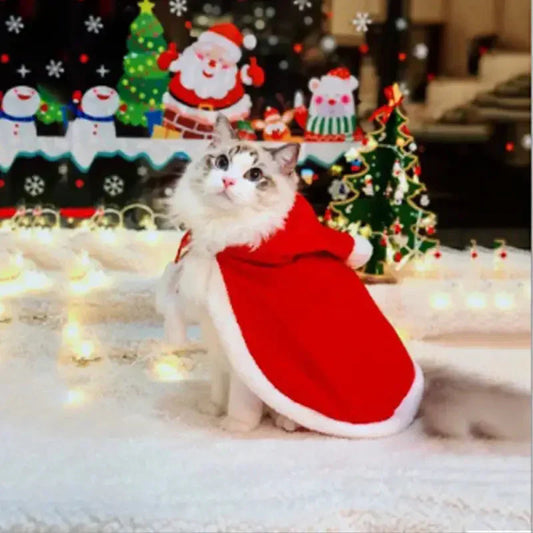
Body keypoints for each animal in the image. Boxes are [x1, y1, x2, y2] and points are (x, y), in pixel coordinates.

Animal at [159, 114, 532, 438]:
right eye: (221, 163)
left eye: (254, 174)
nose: (227, 181)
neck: (222, 239)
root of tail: (420, 394)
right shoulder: (216, 340)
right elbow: (218, 389)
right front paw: (211, 410)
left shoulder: (241, 355)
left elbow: (239, 401)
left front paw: (233, 426)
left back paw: (285, 422)